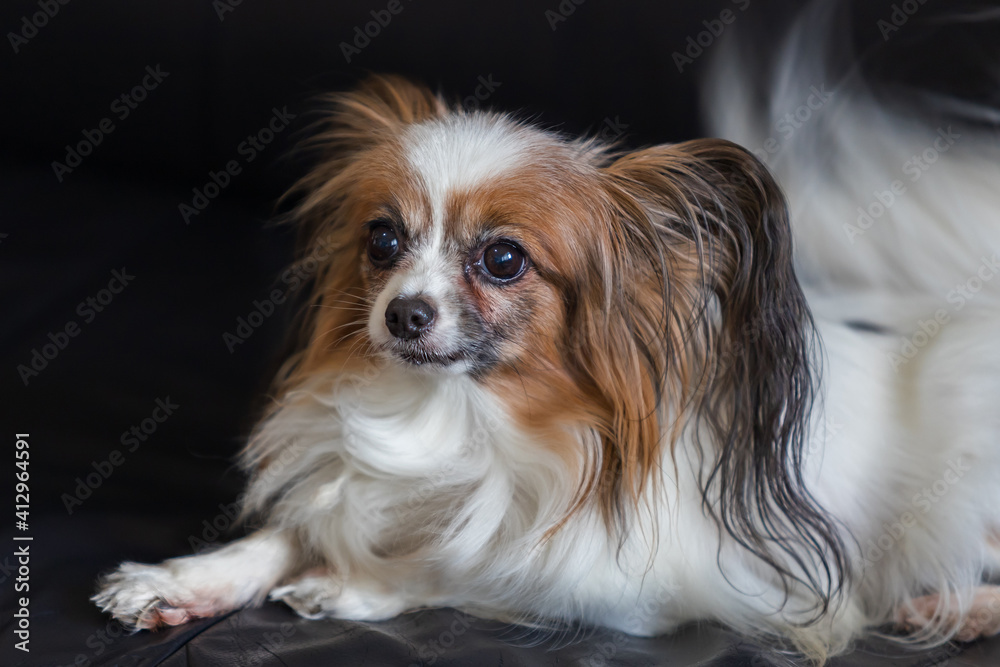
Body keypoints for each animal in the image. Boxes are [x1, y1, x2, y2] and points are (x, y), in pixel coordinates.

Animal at [92, 1, 1000, 664]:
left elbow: (474, 563)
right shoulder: (362, 480)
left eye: (503, 259)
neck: (458, 415)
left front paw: (348, 583)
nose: (404, 314)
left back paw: (961, 607)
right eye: (382, 241)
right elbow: (294, 525)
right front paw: (183, 579)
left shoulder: (644, 585)